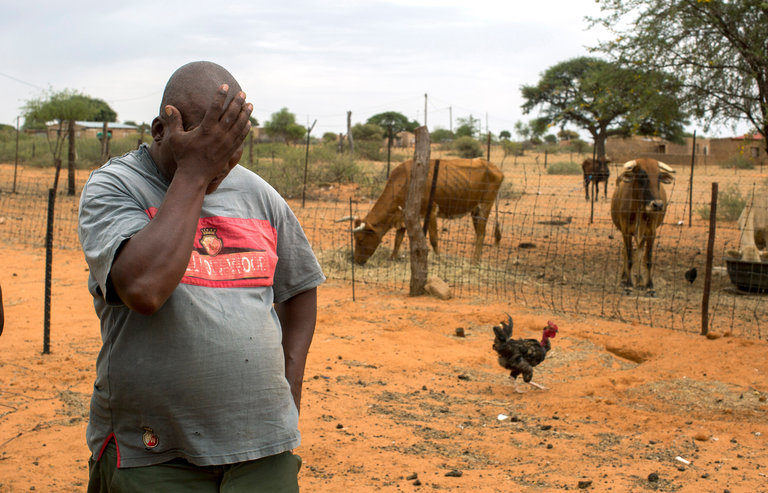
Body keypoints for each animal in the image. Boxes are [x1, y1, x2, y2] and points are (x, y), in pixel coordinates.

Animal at [340, 158, 504, 266]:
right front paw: (392, 258)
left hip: (485, 206)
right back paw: (477, 259)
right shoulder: (403, 215)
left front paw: (439, 259)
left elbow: (434, 239)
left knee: (481, 234)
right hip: (475, 210)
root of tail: (491, 165)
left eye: (361, 239)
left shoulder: (430, 212)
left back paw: (474, 261)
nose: (356, 261)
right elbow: (398, 239)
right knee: (480, 233)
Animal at [612, 160, 672, 294]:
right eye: (642, 175)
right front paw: (628, 284)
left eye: (659, 176)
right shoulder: (626, 231)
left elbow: (647, 258)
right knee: (625, 251)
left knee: (639, 252)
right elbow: (629, 256)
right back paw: (624, 278)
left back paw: (639, 280)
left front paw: (649, 286)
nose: (657, 205)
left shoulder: (651, 233)